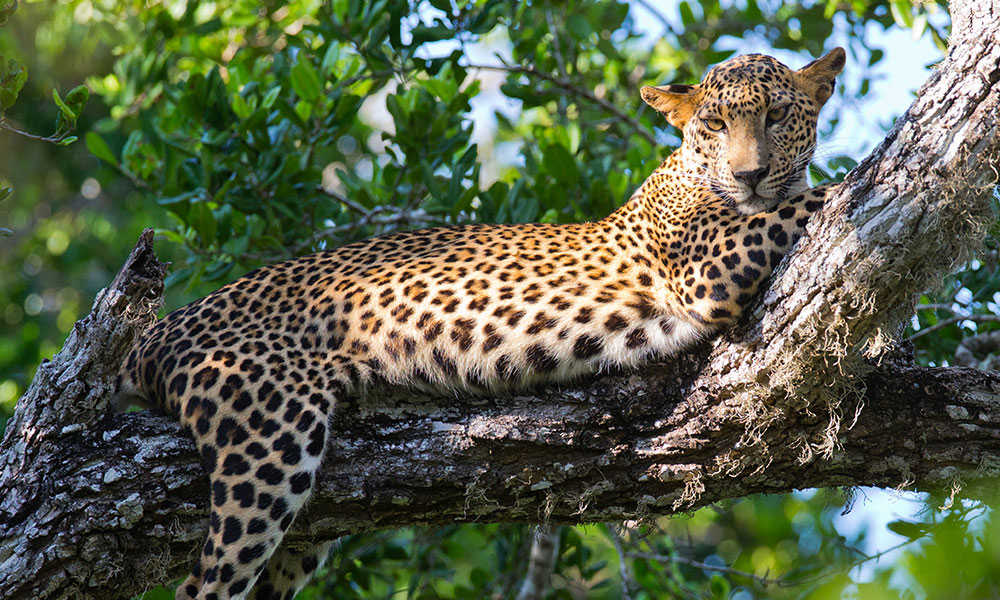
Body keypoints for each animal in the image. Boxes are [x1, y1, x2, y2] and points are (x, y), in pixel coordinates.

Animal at [121, 48, 848, 600]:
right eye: (716, 124)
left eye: (777, 116)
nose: (749, 174)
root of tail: (164, 323)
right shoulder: (710, 264)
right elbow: (821, 195)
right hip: (266, 439)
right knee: (204, 582)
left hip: (303, 524)